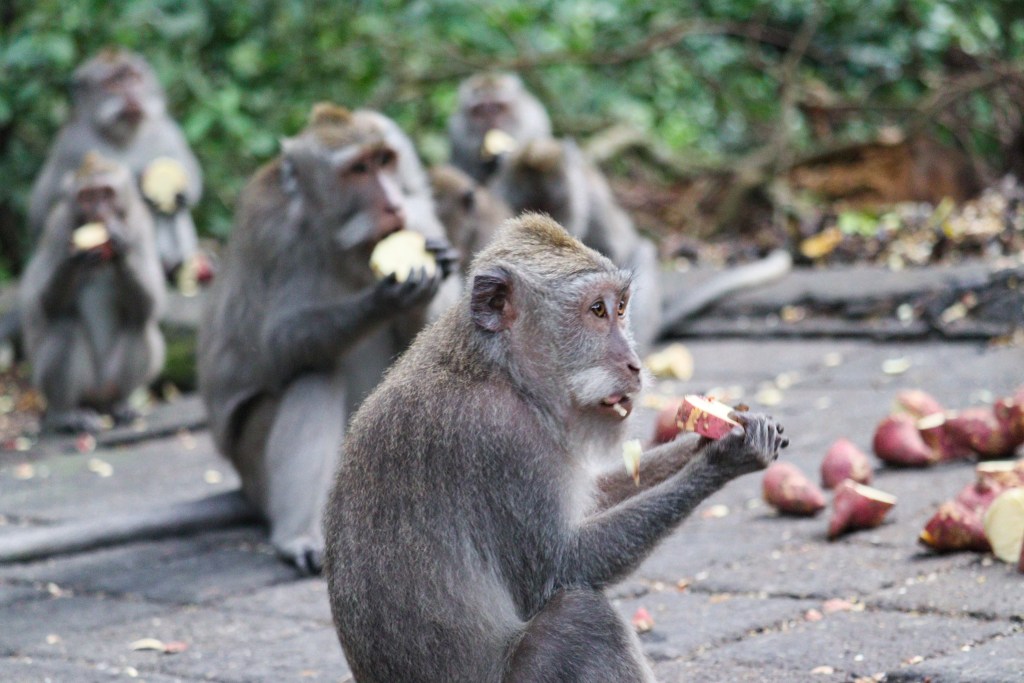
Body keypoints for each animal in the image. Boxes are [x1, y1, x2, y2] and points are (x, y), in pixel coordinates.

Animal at [18, 152, 166, 434]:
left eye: (106, 193)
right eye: (87, 196)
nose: (98, 212)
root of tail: (97, 398)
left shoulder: (141, 226)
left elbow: (150, 305)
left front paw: (120, 249)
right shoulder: (57, 227)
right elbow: (44, 305)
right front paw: (73, 257)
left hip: (108, 381)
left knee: (137, 325)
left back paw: (121, 404)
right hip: (64, 384)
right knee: (65, 326)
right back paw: (66, 415)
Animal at [29, 48, 206, 281]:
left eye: (134, 78)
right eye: (114, 82)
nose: (132, 94)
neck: (122, 135)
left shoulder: (166, 131)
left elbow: (189, 170)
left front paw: (180, 193)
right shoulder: (69, 143)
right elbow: (43, 211)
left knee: (172, 212)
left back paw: (175, 265)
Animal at [324, 213, 788, 682]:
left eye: (621, 307)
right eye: (596, 310)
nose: (636, 365)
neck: (499, 370)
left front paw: (702, 440)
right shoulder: (505, 442)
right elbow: (561, 568)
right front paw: (722, 459)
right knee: (583, 619)